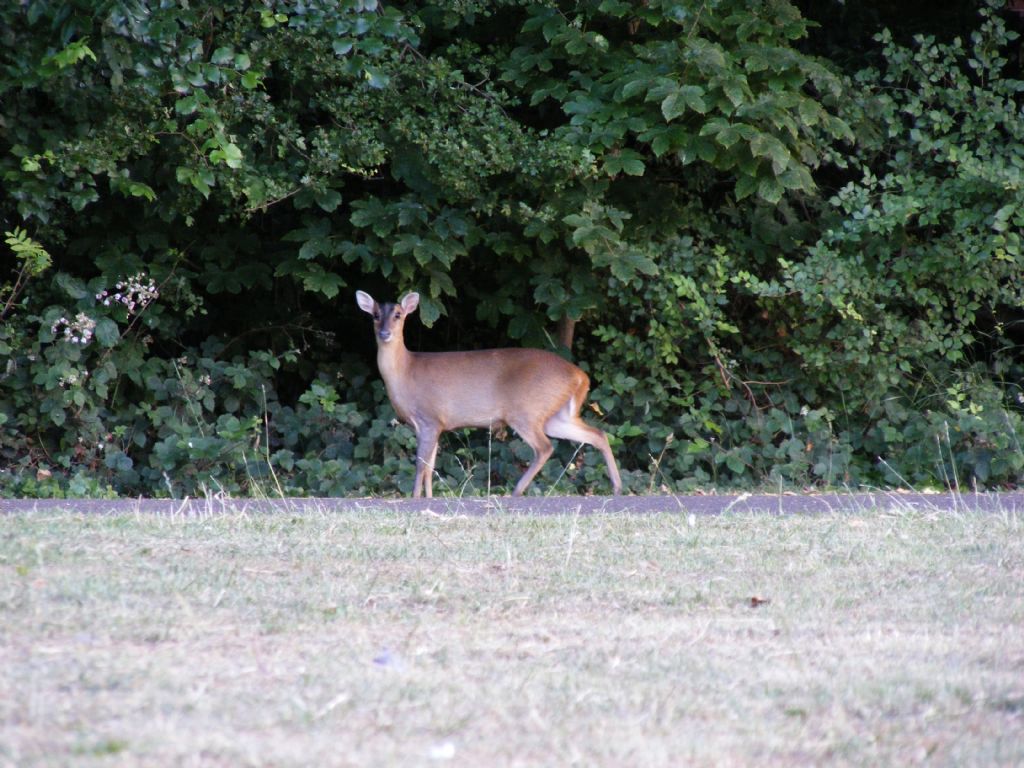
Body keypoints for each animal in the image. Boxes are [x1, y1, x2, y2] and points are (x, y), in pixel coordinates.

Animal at [356, 290, 618, 499]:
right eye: (375, 315)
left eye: (398, 314)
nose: (385, 333)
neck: (405, 371)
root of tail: (580, 376)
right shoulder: (435, 425)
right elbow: (430, 467)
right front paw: (429, 497)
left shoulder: (429, 418)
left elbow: (421, 464)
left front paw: (415, 498)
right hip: (557, 415)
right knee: (598, 434)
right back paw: (617, 487)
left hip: (526, 411)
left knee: (545, 447)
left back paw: (516, 490)